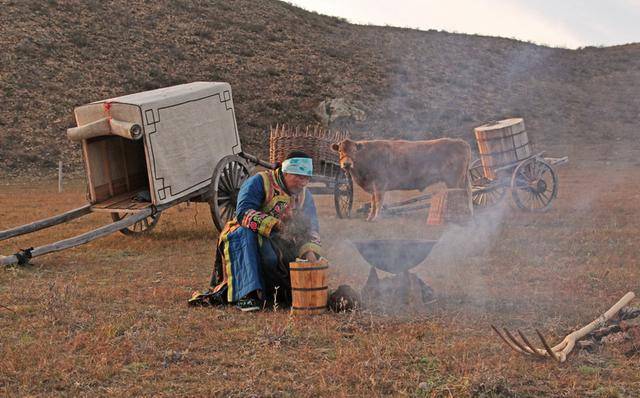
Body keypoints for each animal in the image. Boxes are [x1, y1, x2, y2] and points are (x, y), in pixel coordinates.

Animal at [330, 138, 470, 222]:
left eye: (354, 151)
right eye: (340, 150)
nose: (346, 164)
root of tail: (461, 142)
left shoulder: (379, 185)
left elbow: (378, 202)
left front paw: (376, 218)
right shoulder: (373, 187)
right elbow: (373, 202)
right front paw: (369, 217)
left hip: (455, 181)